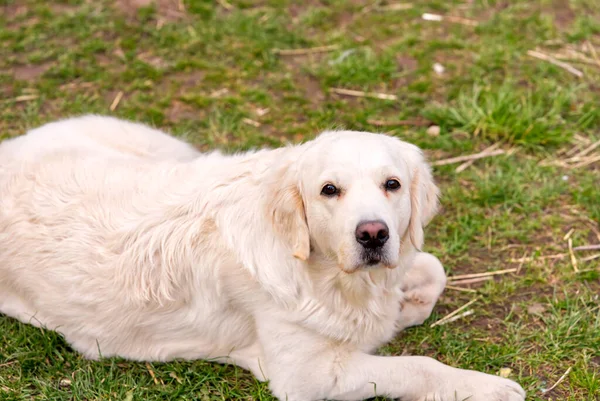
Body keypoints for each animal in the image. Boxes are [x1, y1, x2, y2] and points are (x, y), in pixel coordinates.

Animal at [0, 115, 524, 400]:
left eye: (391, 184)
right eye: (328, 190)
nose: (373, 234)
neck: (327, 275)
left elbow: (433, 268)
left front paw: (404, 308)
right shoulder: (308, 376)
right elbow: (418, 365)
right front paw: (488, 387)